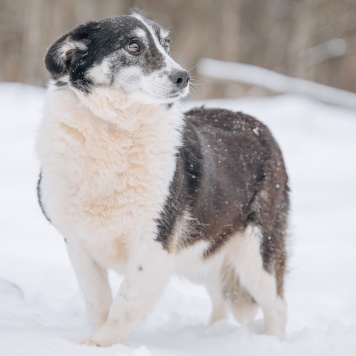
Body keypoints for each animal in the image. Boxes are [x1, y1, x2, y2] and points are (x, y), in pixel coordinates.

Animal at [36, 12, 290, 346]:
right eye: (133, 46)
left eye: (166, 45)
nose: (183, 77)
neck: (116, 130)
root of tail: (256, 124)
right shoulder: (80, 246)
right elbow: (99, 302)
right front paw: (96, 342)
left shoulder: (153, 245)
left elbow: (123, 305)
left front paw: (101, 344)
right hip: (202, 250)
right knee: (220, 298)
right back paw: (211, 333)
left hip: (255, 251)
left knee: (276, 305)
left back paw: (271, 341)